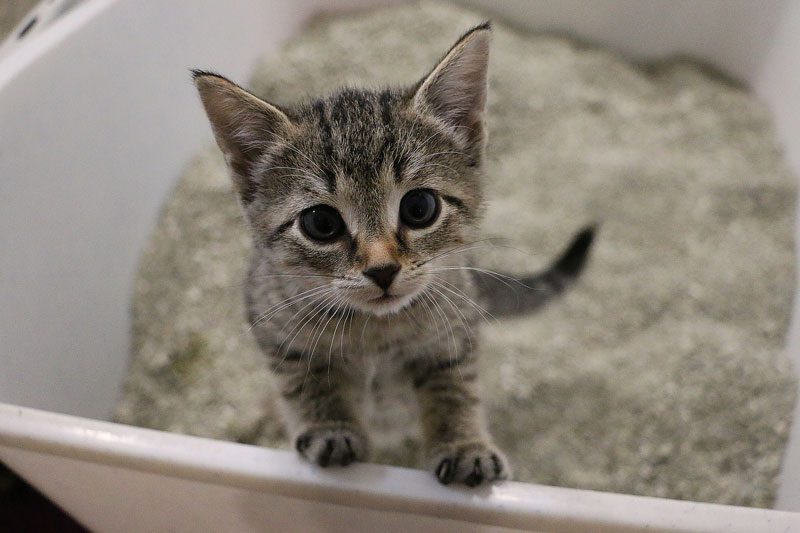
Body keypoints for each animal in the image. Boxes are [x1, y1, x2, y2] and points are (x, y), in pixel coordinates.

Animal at [194, 25, 592, 486]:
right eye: (321, 223)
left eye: (420, 207)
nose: (382, 269)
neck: (376, 332)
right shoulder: (274, 329)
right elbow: (306, 385)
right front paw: (331, 428)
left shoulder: (455, 331)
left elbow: (455, 389)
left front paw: (463, 445)